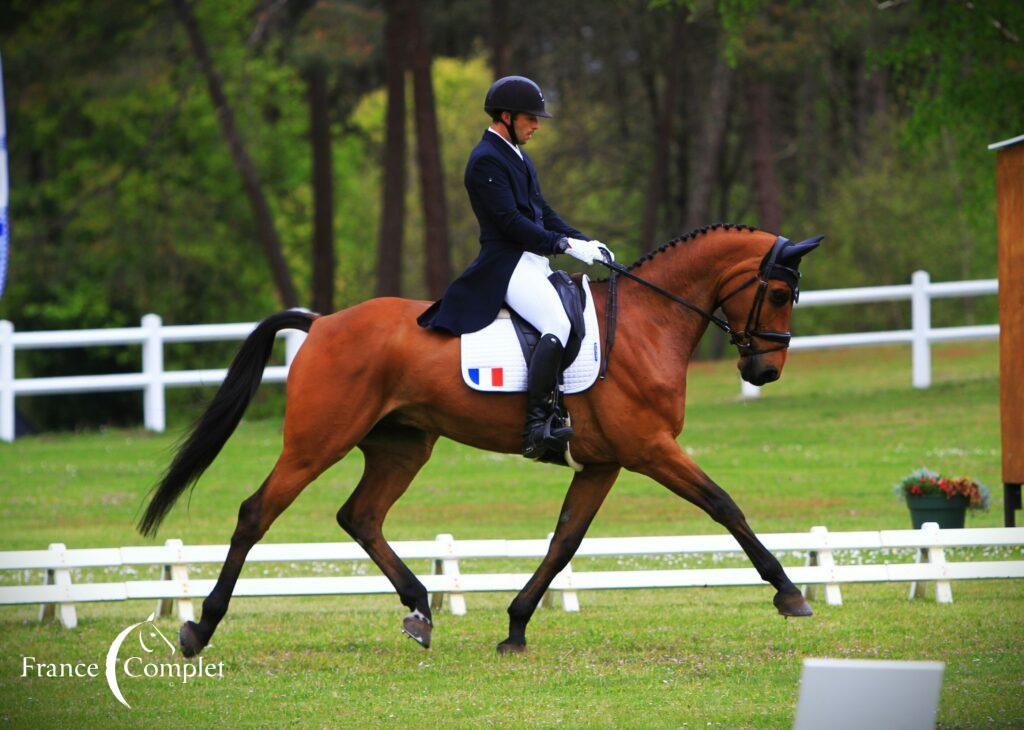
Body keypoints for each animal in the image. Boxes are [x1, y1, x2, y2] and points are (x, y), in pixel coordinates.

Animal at [138, 222, 823, 655]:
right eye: (778, 293)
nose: (765, 371)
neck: (648, 323)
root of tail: (324, 322)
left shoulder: (602, 464)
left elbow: (564, 542)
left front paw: (516, 628)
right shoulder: (651, 449)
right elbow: (724, 505)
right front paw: (789, 593)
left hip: (403, 445)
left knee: (360, 515)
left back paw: (420, 609)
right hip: (316, 443)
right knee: (257, 513)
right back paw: (200, 628)